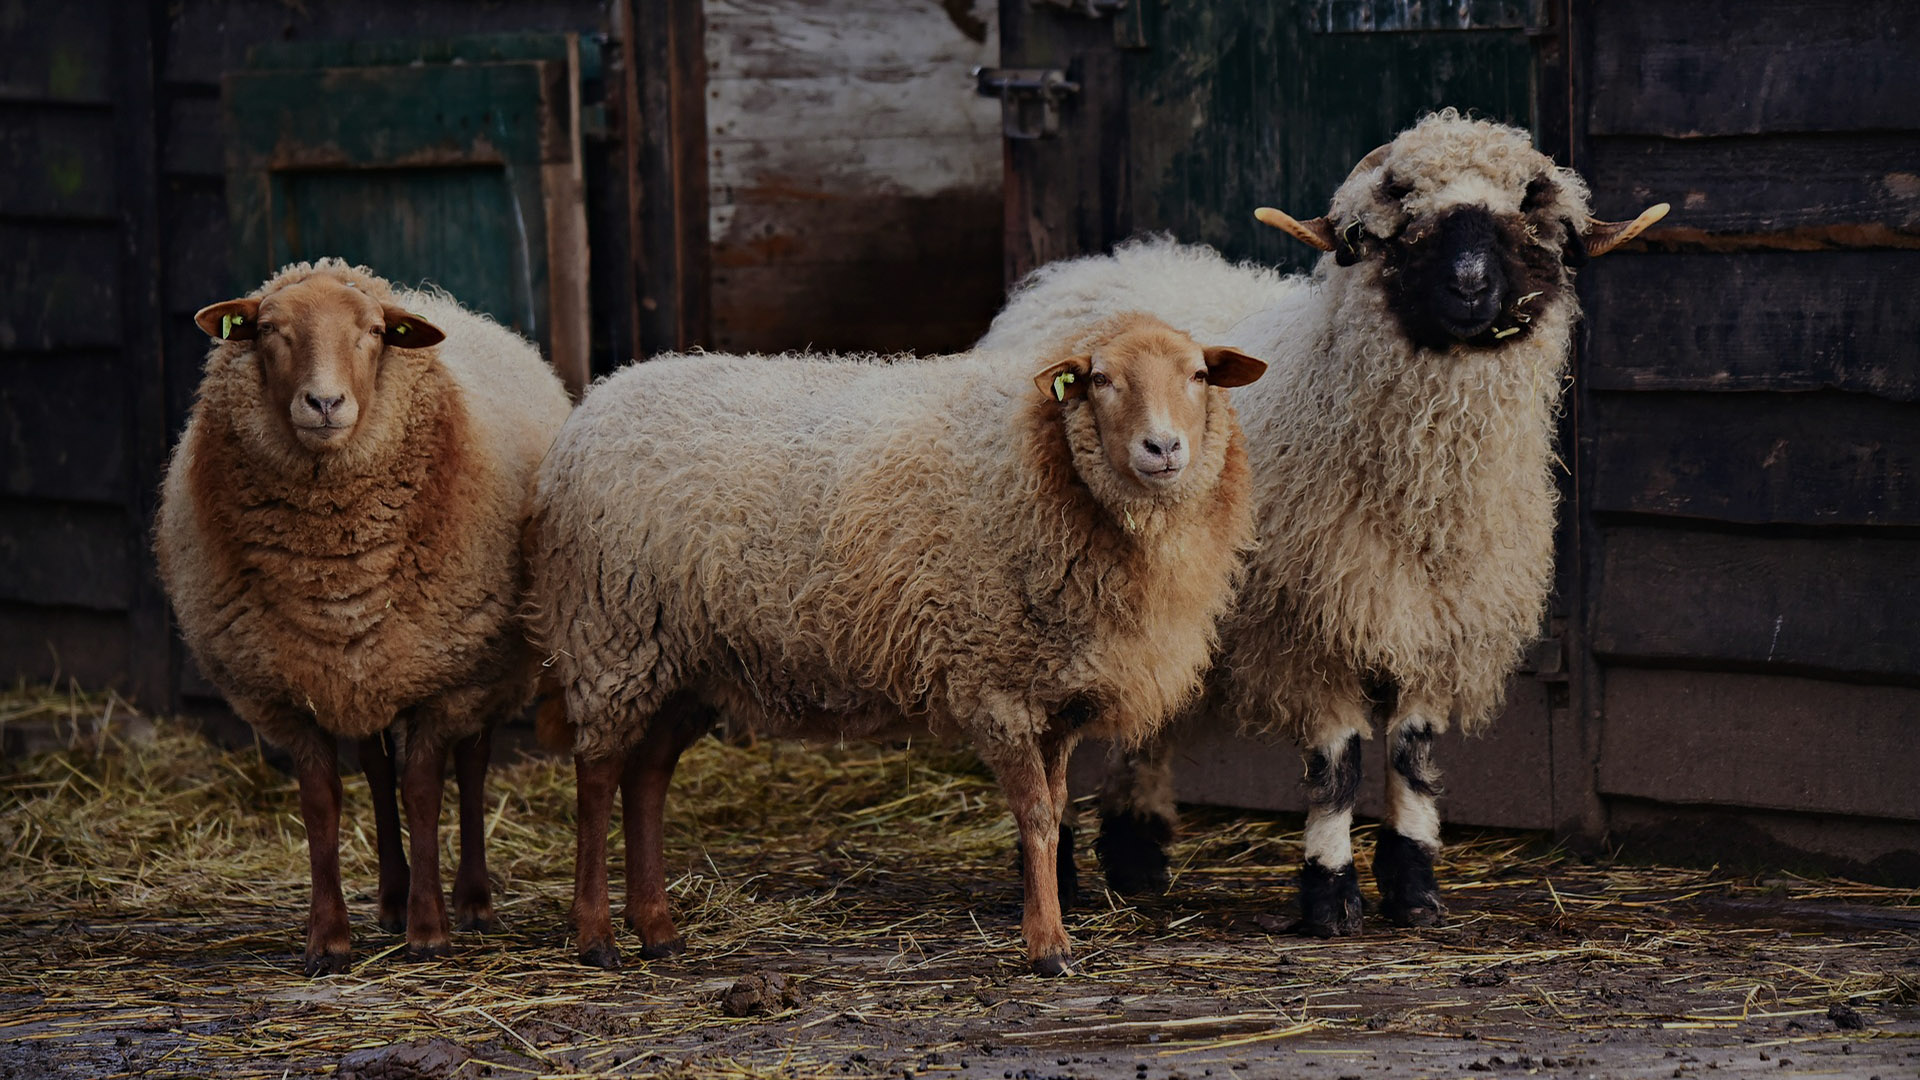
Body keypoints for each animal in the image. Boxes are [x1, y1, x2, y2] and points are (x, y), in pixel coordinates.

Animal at [153, 259, 572, 968]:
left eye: (374, 332)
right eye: (269, 329)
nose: (324, 404)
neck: (335, 569)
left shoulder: (445, 680)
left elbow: (424, 793)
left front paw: (430, 931)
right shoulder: (290, 693)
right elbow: (324, 804)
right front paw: (329, 939)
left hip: (486, 665)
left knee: (473, 765)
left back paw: (473, 901)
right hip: (367, 673)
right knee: (376, 772)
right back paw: (392, 897)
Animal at [533, 313, 1267, 976]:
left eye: (1199, 376)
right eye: (1102, 380)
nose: (1163, 448)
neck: (1038, 459)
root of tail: (600, 397)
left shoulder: (1055, 691)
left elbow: (1055, 810)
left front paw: (1052, 924)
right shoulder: (994, 678)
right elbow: (1033, 814)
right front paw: (1047, 946)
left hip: (687, 659)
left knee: (647, 777)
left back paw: (657, 929)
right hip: (613, 633)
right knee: (597, 776)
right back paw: (596, 935)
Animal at [975, 111, 1666, 933]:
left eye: (1526, 224)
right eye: (1405, 225)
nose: (1470, 289)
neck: (1427, 502)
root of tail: (1084, 269)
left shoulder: (1435, 622)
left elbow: (1411, 757)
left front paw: (1415, 890)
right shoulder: (1309, 625)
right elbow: (1339, 767)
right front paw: (1331, 895)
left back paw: (1137, 857)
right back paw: (1060, 871)